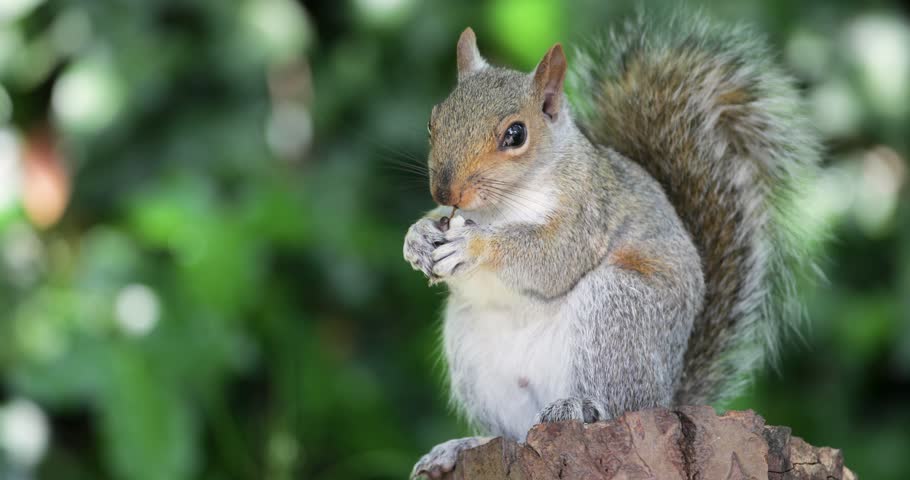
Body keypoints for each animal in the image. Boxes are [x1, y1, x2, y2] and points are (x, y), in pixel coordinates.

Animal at [403, 12, 819, 479]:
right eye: (433, 121)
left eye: (516, 134)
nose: (445, 190)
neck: (501, 207)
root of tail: (667, 397)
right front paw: (417, 237)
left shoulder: (588, 213)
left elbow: (551, 261)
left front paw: (475, 244)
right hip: (475, 351)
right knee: (510, 433)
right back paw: (462, 446)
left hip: (616, 312)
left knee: (617, 402)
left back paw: (581, 406)